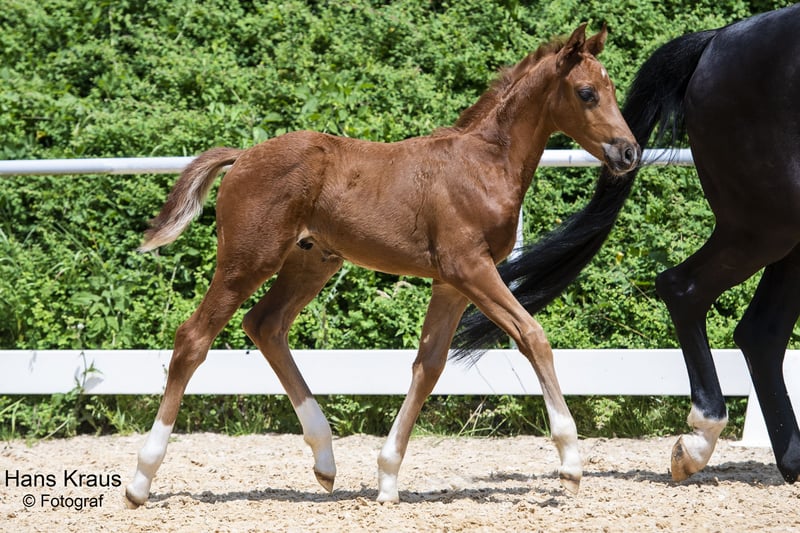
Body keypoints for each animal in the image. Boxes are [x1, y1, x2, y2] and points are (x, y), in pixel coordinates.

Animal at [123, 23, 639, 507]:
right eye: (587, 92)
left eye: (613, 89)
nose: (629, 151)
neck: (484, 165)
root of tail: (242, 155)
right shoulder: (470, 269)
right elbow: (533, 336)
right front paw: (571, 463)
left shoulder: (451, 284)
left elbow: (428, 366)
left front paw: (388, 477)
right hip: (248, 259)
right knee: (194, 338)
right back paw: (141, 480)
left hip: (312, 262)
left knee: (265, 325)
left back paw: (325, 460)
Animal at [453, 4, 800, 485]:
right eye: (586, 93)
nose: (629, 152)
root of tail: (716, 40)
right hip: (766, 224)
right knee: (689, 291)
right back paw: (699, 442)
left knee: (760, 331)